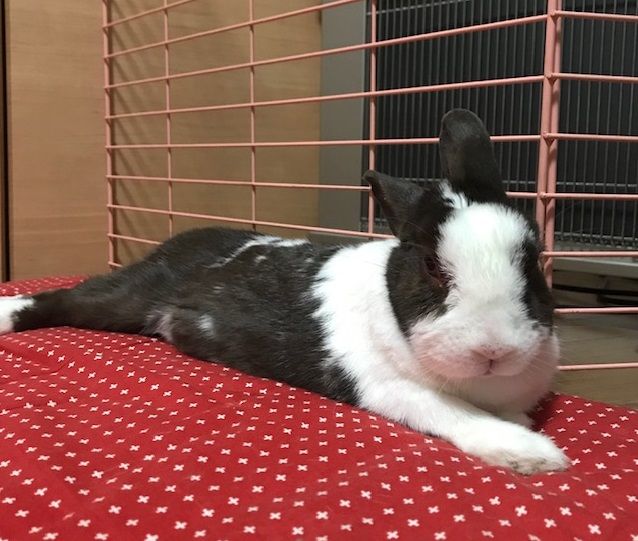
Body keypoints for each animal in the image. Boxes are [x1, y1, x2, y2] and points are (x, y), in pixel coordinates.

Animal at [0, 109, 567, 475]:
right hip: (126, 297)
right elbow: (454, 414)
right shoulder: (389, 388)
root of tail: (177, 243)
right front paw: (533, 454)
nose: (494, 349)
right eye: (431, 264)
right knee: (62, 298)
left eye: (533, 259)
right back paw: (7, 312)